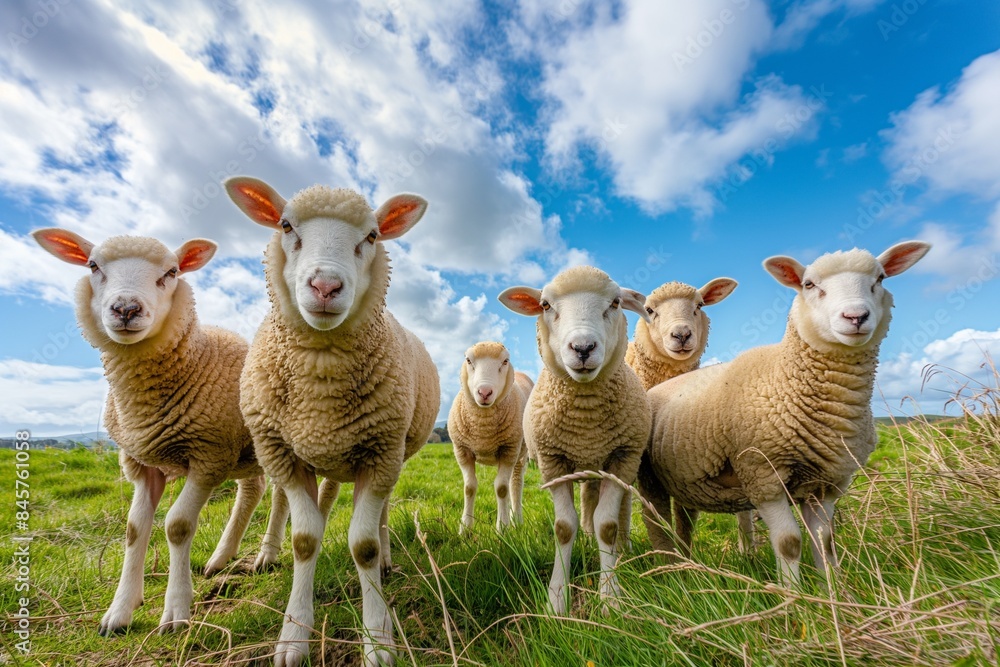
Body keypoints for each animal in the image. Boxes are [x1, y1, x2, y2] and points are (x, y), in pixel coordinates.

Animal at [31, 228, 281, 635]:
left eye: (172, 271)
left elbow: (177, 525)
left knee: (280, 494)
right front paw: (119, 612)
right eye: (93, 265)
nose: (126, 309)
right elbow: (134, 529)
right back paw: (221, 557)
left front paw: (176, 611)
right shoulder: (141, 461)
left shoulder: (208, 456)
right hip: (242, 451)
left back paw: (267, 554)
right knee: (252, 489)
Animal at [224, 176, 439, 667]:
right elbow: (305, 539)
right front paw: (293, 636)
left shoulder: (381, 452)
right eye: (285, 225)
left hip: (379, 452)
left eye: (372, 235)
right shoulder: (281, 454)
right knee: (311, 503)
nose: (325, 285)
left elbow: (364, 544)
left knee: (377, 514)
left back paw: (386, 560)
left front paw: (377, 640)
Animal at [447, 342, 534, 533]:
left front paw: (503, 528)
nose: (484, 392)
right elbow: (469, 488)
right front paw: (465, 528)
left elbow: (501, 489)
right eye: (468, 360)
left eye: (505, 361)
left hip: (520, 452)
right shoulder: (462, 450)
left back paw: (516, 520)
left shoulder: (509, 449)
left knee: (515, 483)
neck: (483, 430)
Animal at [499, 266, 651, 614]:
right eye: (544, 305)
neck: (586, 423)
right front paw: (557, 600)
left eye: (616, 302)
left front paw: (610, 599)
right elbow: (563, 528)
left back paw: (622, 545)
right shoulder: (553, 461)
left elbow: (607, 525)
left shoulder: (622, 457)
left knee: (614, 508)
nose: (582, 347)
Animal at [639, 241, 931, 587]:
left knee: (685, 518)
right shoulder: (762, 475)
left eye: (881, 278)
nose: (856, 316)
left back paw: (685, 561)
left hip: (684, 476)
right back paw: (666, 568)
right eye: (809, 284)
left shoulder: (827, 484)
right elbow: (789, 542)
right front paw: (794, 594)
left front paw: (833, 589)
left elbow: (825, 540)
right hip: (651, 477)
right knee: (655, 520)